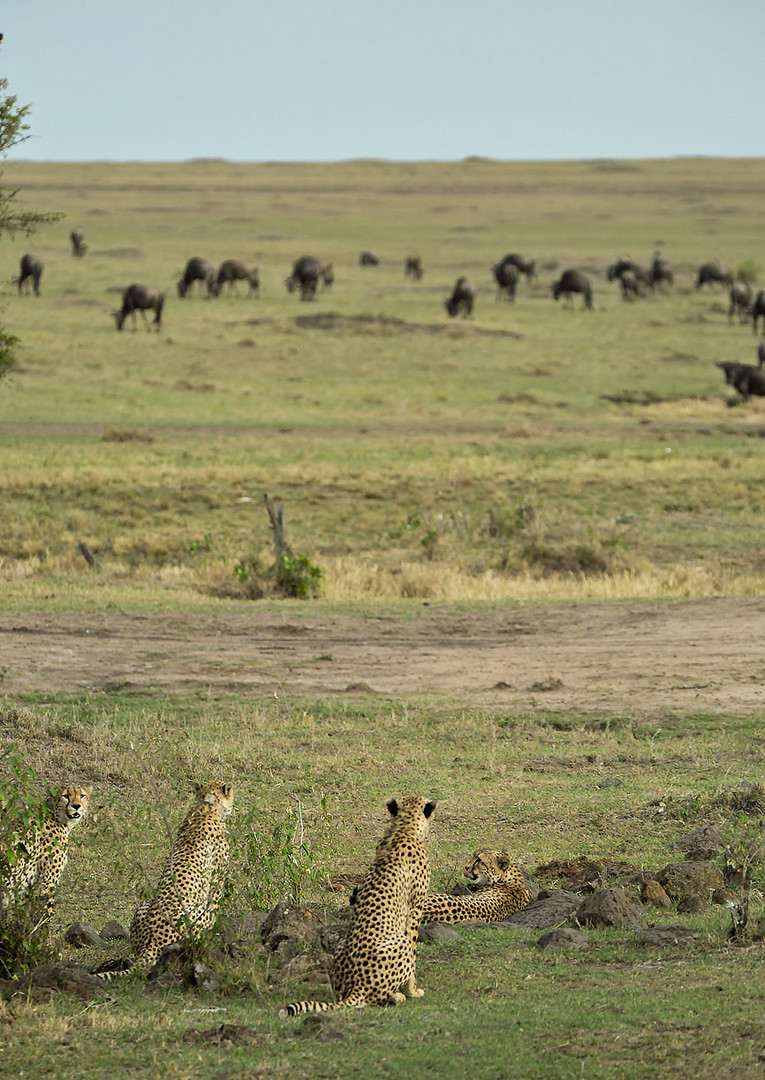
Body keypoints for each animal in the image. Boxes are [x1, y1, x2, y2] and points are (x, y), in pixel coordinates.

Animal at [280, 790, 436, 1015]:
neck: (403, 827)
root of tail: (357, 985)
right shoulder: (415, 908)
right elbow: (414, 948)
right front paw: (413, 991)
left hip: (339, 950)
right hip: (400, 944)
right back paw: (397, 996)